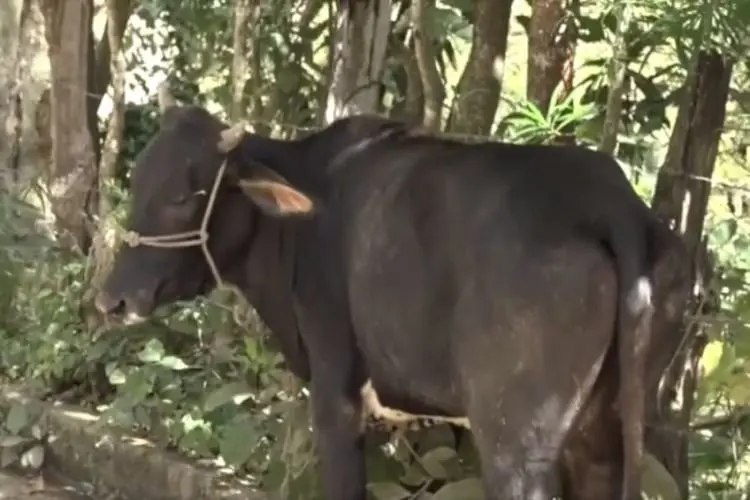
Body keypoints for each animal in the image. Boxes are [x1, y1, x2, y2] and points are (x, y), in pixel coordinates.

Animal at [94, 86, 692, 500]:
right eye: (137, 181)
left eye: (182, 197)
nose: (112, 300)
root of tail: (612, 203)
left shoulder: (336, 387)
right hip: (605, 428)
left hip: (517, 438)